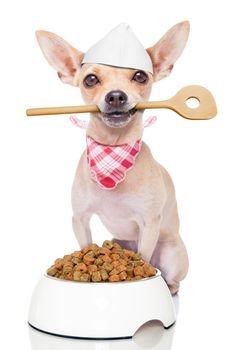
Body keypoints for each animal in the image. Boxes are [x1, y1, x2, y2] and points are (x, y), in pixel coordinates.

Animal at [36, 21, 189, 294]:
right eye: (90, 79)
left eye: (140, 76)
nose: (116, 95)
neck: (112, 152)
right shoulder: (80, 219)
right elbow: (85, 244)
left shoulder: (149, 224)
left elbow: (144, 257)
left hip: (172, 254)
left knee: (171, 279)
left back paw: (169, 288)